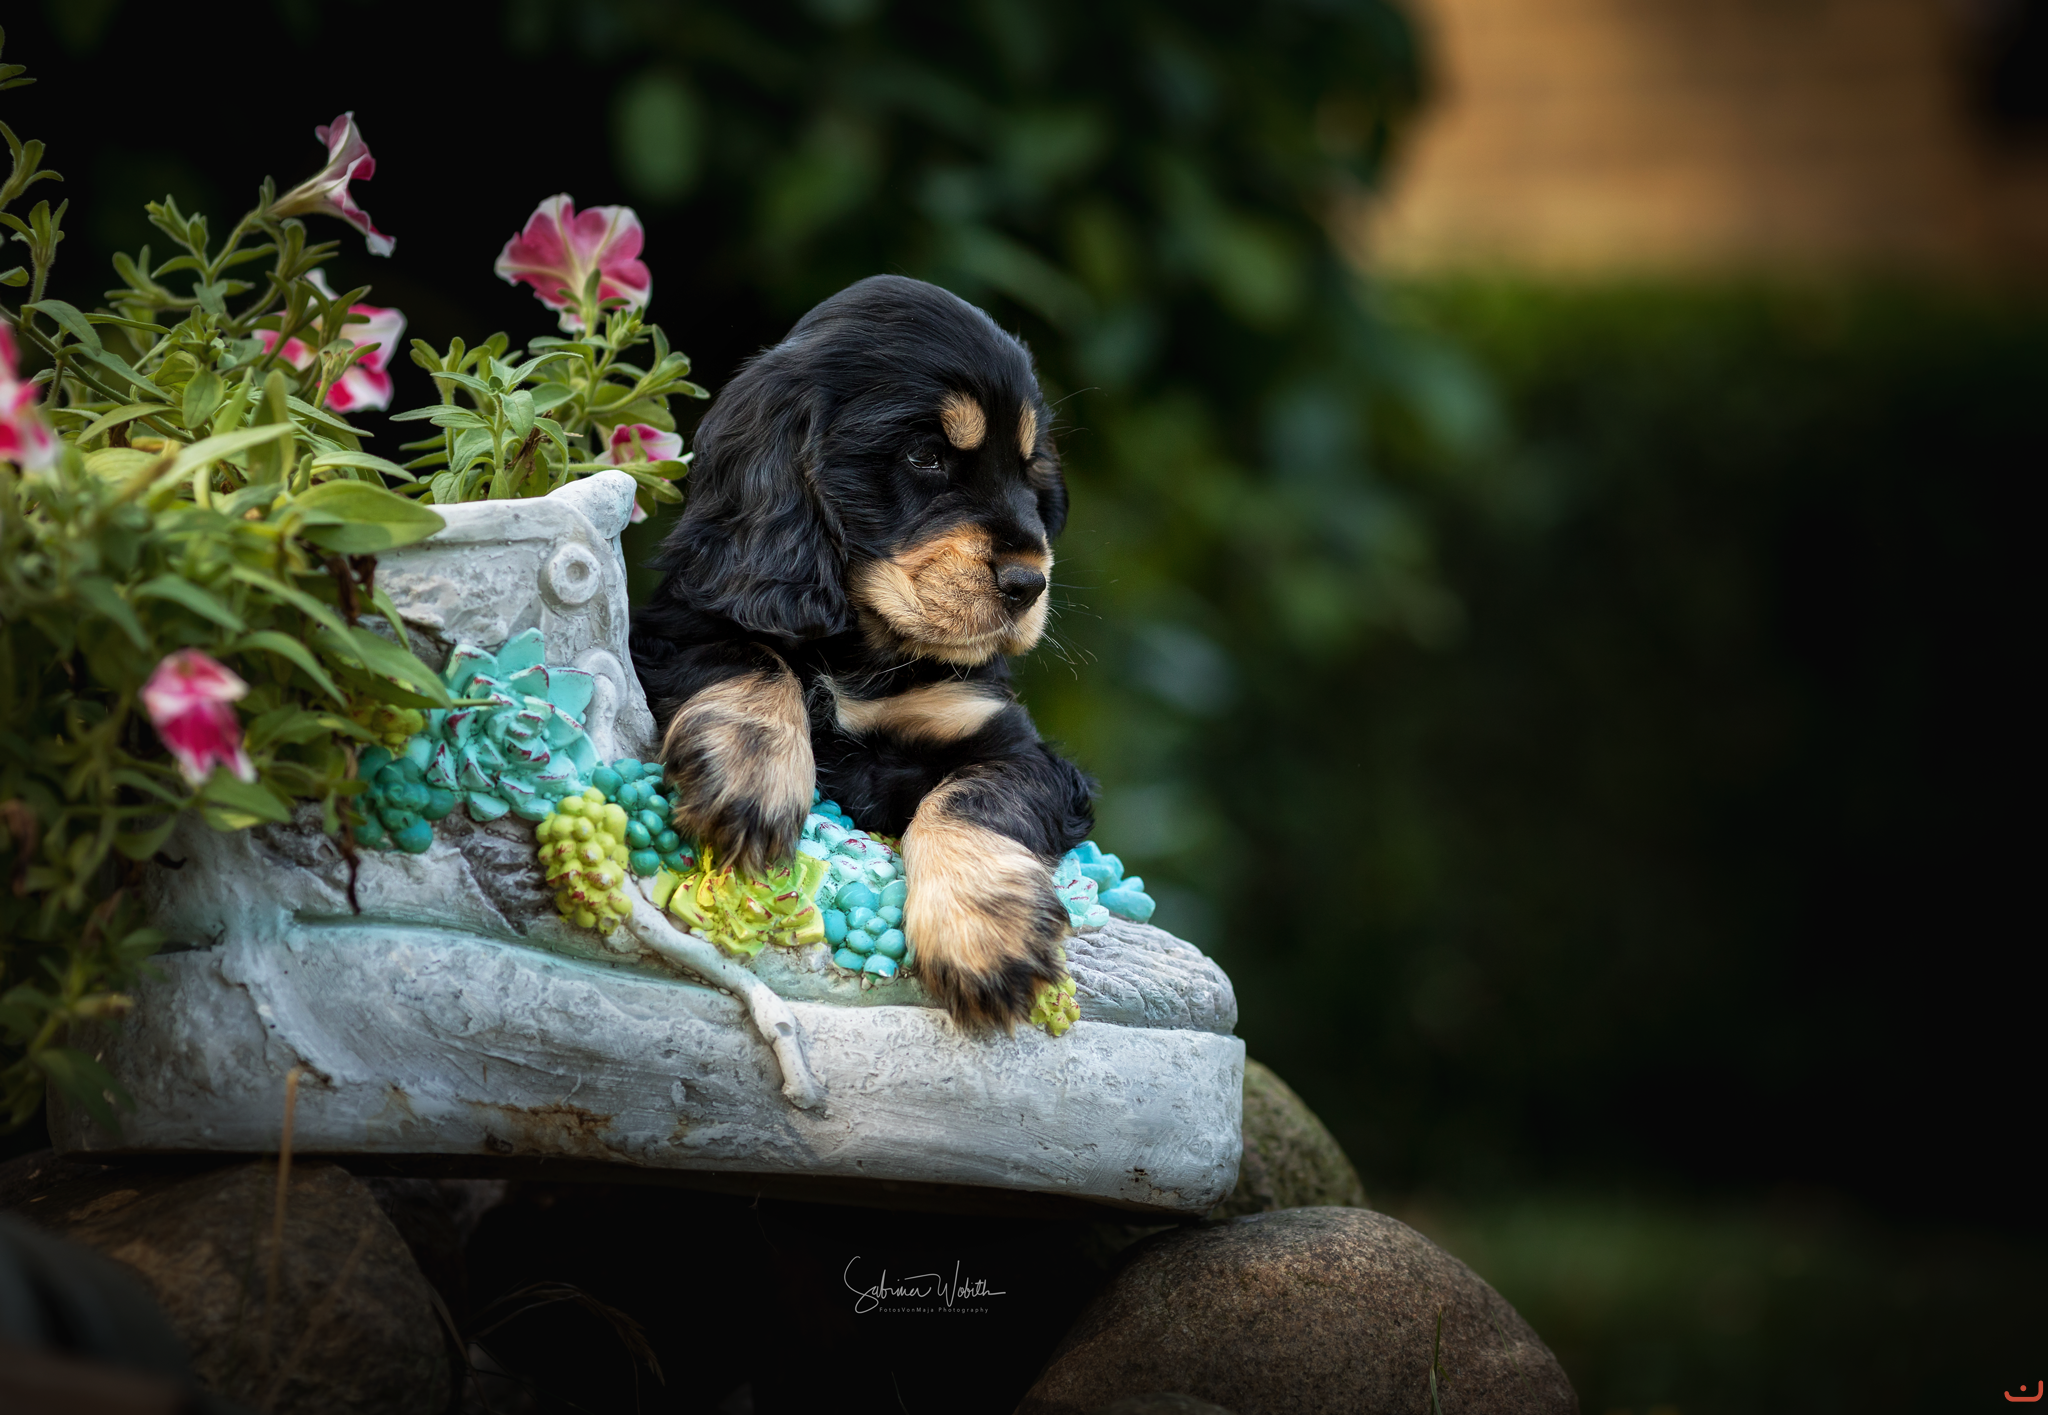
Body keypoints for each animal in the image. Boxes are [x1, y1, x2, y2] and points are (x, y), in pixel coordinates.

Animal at [630, 275, 1095, 1029]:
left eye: (1030, 474)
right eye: (927, 456)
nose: (1030, 583)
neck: (862, 653)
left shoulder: (1014, 745)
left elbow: (973, 798)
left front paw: (982, 933)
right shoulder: (678, 624)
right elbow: (746, 655)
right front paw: (753, 778)